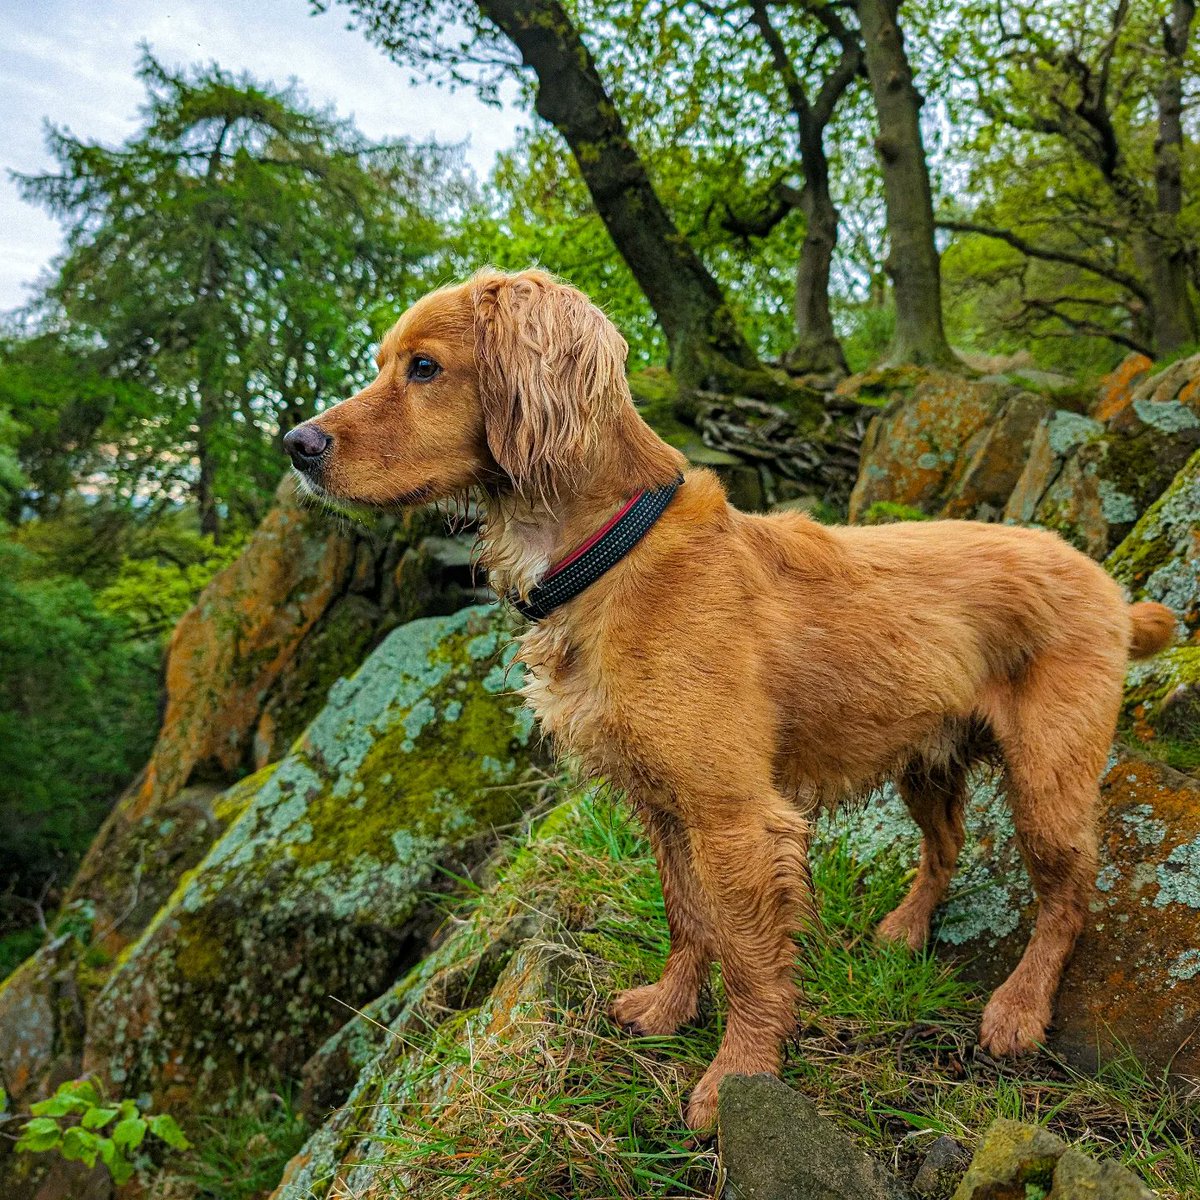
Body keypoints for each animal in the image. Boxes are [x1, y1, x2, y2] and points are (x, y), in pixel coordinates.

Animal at [285, 267, 1176, 1128]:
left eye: (424, 368)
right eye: (382, 364)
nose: (295, 444)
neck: (603, 555)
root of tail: (1106, 583)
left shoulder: (734, 815)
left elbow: (749, 958)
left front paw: (738, 1077)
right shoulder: (662, 804)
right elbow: (687, 916)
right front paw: (672, 1006)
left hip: (1047, 778)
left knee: (1067, 898)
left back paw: (1019, 1007)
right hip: (924, 759)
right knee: (945, 845)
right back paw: (906, 928)